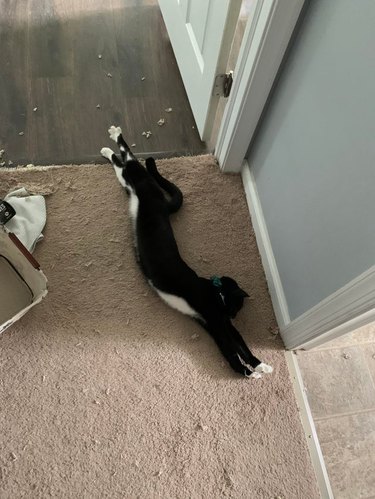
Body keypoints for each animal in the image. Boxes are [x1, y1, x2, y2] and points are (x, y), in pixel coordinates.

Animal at [102, 126, 274, 378]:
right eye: (237, 307)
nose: (233, 316)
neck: (215, 292)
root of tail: (161, 206)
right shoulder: (216, 320)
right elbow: (235, 346)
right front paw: (249, 371)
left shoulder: (213, 324)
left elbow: (233, 347)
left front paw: (255, 366)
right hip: (140, 182)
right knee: (132, 160)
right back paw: (116, 135)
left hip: (128, 186)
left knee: (120, 165)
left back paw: (107, 150)